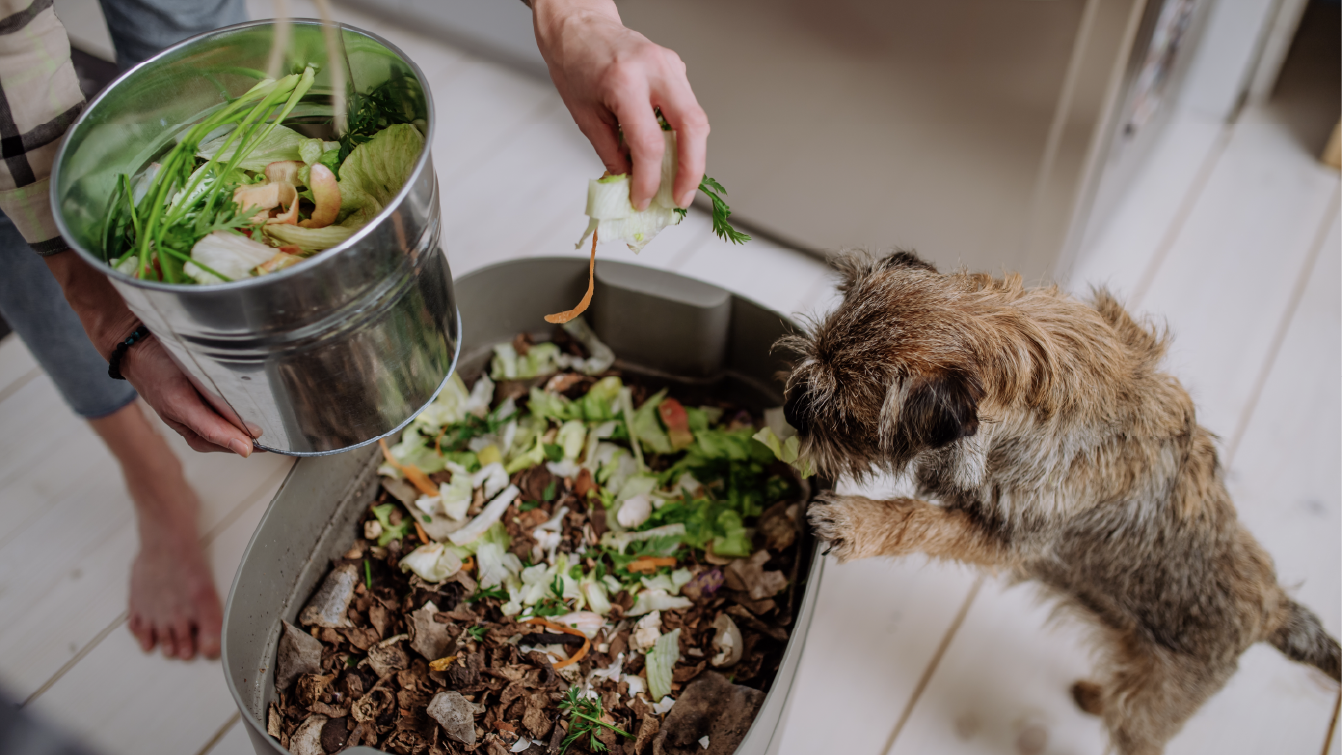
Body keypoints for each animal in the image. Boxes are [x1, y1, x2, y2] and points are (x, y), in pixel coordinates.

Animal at [783, 252, 1336, 755]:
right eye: (811, 352)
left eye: (844, 419)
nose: (791, 407)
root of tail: (1274, 609)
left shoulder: (1008, 541)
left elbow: (921, 520)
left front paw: (857, 521)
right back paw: (1095, 693)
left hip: (1147, 710)